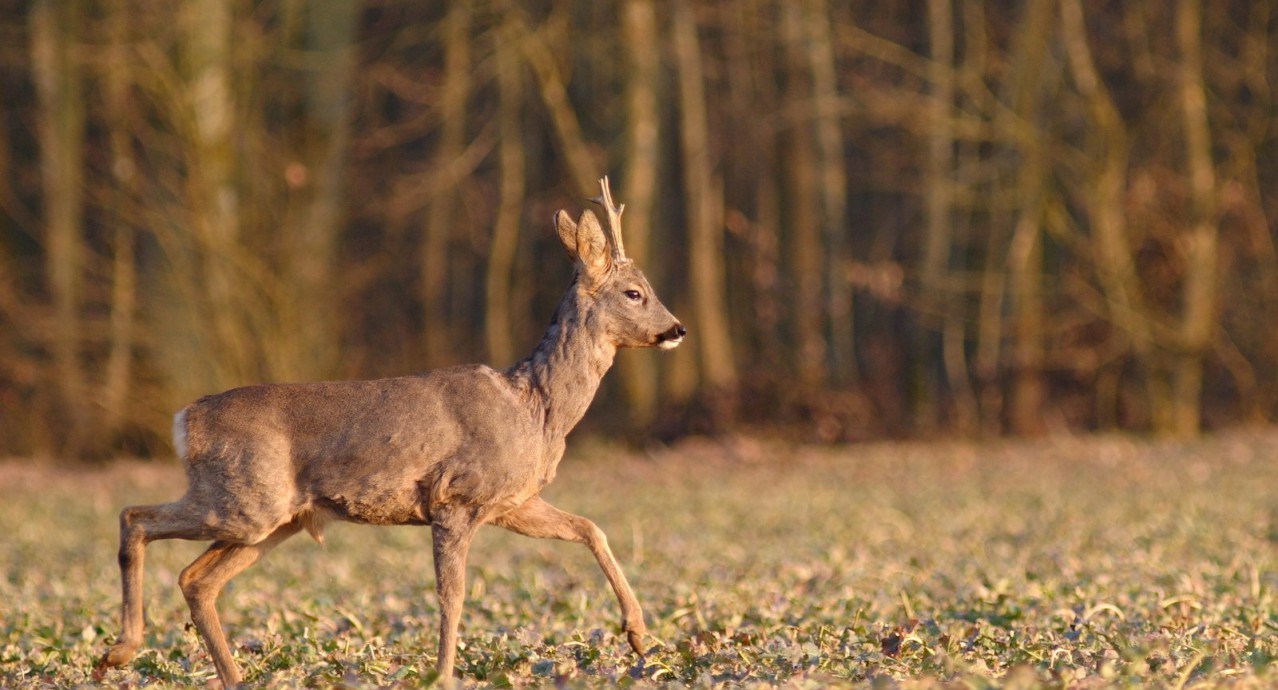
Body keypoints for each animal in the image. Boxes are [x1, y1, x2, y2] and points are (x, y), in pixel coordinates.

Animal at [94, 177, 685, 684]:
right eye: (635, 293)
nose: (677, 329)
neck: (534, 410)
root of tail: (184, 420)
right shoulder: (455, 497)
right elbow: (452, 595)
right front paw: (443, 675)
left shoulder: (510, 502)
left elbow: (590, 528)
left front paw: (640, 635)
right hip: (245, 501)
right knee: (135, 517)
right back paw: (120, 651)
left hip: (272, 519)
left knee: (196, 579)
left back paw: (228, 676)